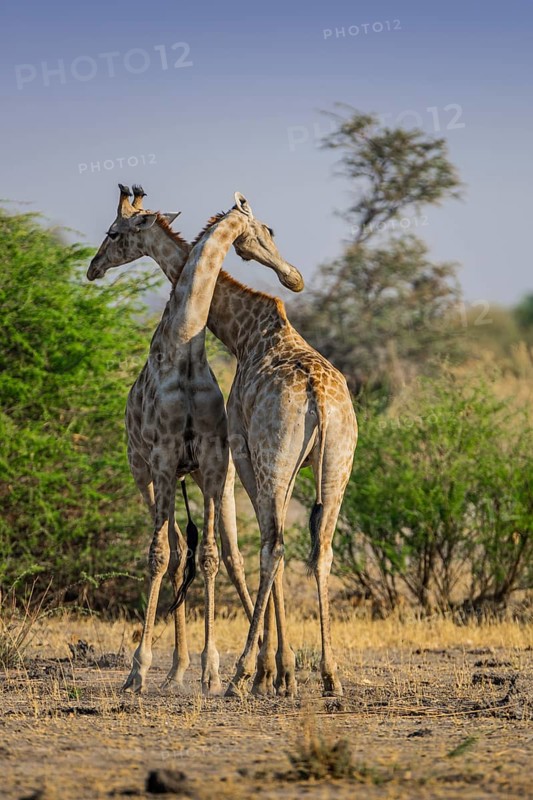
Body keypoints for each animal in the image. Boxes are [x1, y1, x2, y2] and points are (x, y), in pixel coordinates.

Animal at [91, 185, 358, 697]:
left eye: (113, 233)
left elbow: (239, 551)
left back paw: (238, 673)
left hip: (265, 465)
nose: (294, 278)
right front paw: (279, 672)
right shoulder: (217, 462)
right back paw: (329, 675)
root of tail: (318, 397)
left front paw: (266, 670)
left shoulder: (237, 457)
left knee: (262, 548)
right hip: (337, 465)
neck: (241, 332)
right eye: (269, 228)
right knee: (318, 550)